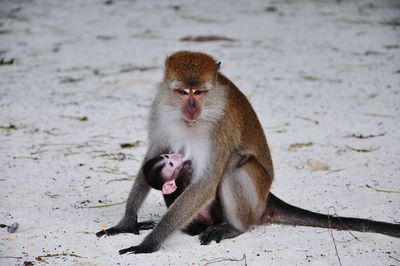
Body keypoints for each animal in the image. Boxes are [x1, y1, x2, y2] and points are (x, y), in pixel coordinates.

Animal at [97, 51, 400, 254]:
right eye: (183, 92)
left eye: (199, 92)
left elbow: (208, 182)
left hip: (255, 197)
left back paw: (235, 227)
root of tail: (267, 198)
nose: (192, 109)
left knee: (234, 165)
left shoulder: (221, 126)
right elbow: (151, 157)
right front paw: (127, 221)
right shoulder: (160, 111)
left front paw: (150, 243)